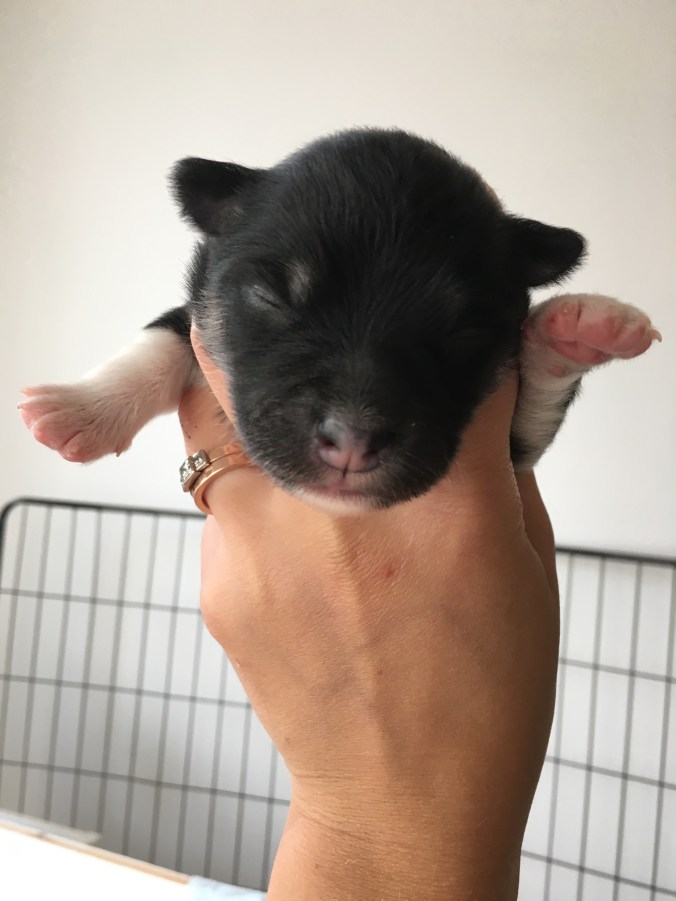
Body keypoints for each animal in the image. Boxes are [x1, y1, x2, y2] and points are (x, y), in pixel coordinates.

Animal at [19, 129, 660, 512]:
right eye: (274, 297)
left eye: (463, 331)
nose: (353, 441)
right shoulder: (196, 310)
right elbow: (163, 338)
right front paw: (82, 407)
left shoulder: (512, 455)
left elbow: (534, 406)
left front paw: (579, 329)